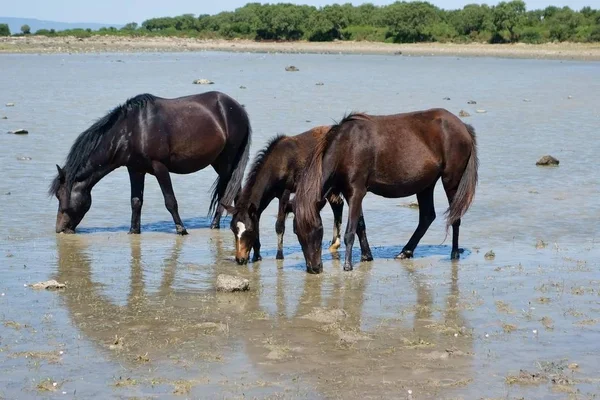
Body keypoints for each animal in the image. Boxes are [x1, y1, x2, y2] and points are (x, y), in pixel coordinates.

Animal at [48, 90, 251, 234]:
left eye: (60, 195)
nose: (60, 229)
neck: (132, 131)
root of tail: (238, 108)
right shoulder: (135, 170)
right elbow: (136, 201)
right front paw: (133, 231)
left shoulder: (159, 167)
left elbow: (170, 201)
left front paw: (181, 229)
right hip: (218, 162)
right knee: (234, 190)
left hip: (228, 161)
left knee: (229, 190)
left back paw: (216, 224)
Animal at [224, 127, 372, 266]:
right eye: (233, 229)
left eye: (248, 231)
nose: (240, 259)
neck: (277, 163)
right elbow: (258, 219)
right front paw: (257, 256)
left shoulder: (285, 191)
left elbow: (279, 225)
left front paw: (279, 255)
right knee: (337, 204)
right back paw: (334, 244)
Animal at [292, 108, 480, 274]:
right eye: (296, 231)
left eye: (318, 229)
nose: (314, 268)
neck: (347, 147)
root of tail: (463, 127)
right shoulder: (350, 194)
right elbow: (360, 225)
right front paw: (366, 256)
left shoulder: (356, 192)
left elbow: (350, 232)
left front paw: (348, 265)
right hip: (426, 184)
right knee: (427, 216)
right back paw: (406, 251)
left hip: (451, 180)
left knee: (454, 216)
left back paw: (454, 253)